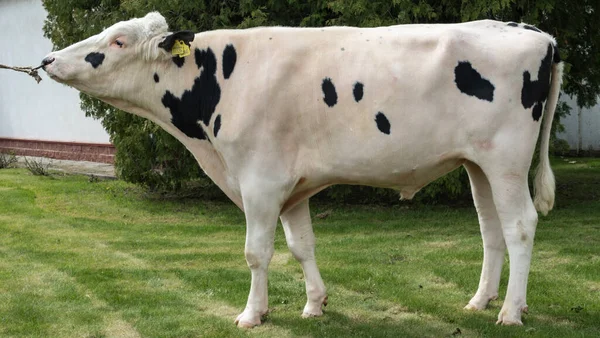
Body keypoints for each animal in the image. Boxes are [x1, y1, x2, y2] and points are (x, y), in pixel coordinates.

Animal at [42, 12, 564, 328]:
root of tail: (535, 33)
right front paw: (315, 304)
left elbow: (256, 253)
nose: (47, 59)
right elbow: (301, 245)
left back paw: (511, 312)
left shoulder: (259, 180)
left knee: (520, 226)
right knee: (491, 230)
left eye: (117, 40)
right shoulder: (293, 185)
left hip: (506, 161)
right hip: (478, 164)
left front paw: (252, 314)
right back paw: (481, 300)